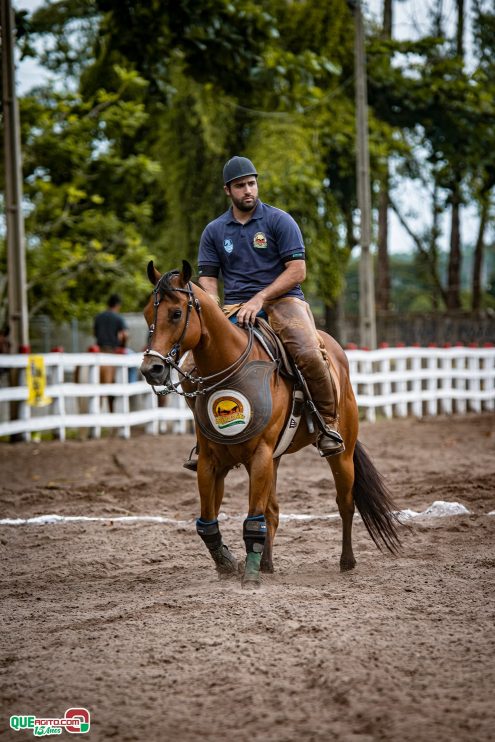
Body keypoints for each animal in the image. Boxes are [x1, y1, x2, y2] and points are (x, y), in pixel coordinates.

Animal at [140, 262, 404, 588]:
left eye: (176, 313)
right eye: (147, 315)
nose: (151, 369)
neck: (230, 369)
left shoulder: (260, 456)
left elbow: (253, 520)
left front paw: (249, 577)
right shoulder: (212, 462)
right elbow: (208, 522)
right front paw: (227, 563)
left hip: (341, 455)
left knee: (345, 503)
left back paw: (346, 561)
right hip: (276, 460)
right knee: (273, 512)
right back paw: (266, 563)